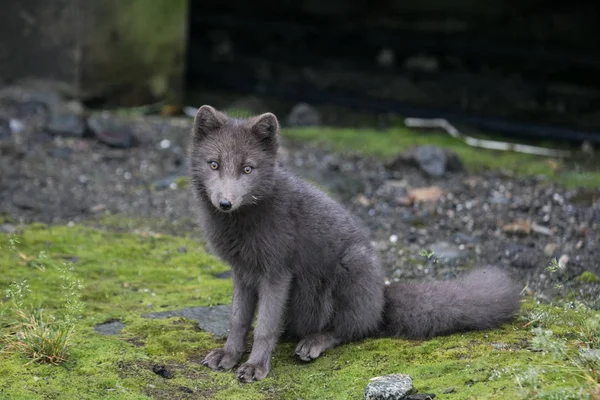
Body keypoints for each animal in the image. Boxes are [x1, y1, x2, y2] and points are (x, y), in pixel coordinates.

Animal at [189, 105, 520, 382]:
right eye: (214, 164)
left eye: (248, 169)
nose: (225, 203)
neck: (242, 223)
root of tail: (382, 298)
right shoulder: (243, 272)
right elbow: (238, 320)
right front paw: (229, 355)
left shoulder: (277, 272)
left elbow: (265, 327)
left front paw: (255, 366)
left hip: (351, 265)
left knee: (352, 329)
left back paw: (314, 341)